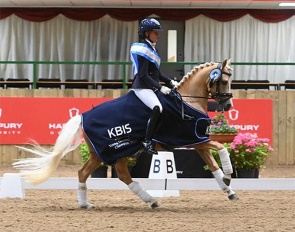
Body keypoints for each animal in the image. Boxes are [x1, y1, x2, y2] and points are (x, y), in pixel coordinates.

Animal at [13, 58, 240, 210]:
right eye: (224, 80)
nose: (228, 105)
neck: (187, 100)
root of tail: (83, 116)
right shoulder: (194, 139)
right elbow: (221, 149)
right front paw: (229, 176)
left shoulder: (197, 140)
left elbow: (213, 166)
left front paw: (229, 190)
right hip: (111, 151)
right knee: (109, 173)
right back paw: (147, 200)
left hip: (109, 153)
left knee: (96, 173)